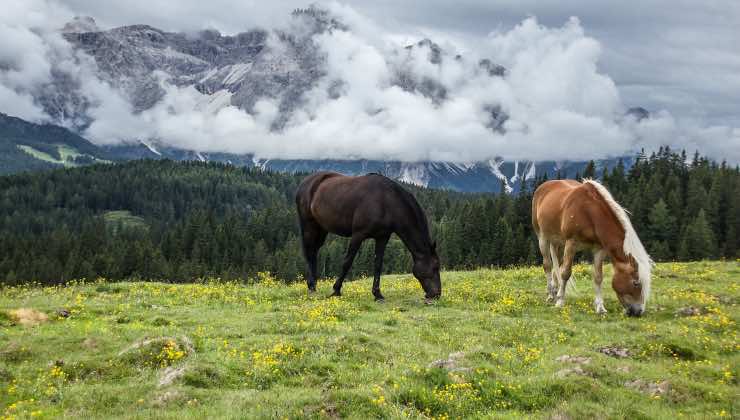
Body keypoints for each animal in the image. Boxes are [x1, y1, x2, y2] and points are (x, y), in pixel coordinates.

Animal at [294, 171, 440, 302]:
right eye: (435, 267)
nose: (436, 294)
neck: (386, 201)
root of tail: (306, 183)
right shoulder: (358, 235)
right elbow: (347, 262)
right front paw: (336, 290)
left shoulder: (382, 238)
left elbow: (378, 265)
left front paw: (377, 294)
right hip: (308, 225)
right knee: (309, 252)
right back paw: (311, 287)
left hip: (322, 228)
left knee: (314, 252)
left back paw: (314, 285)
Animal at [532, 179, 652, 316]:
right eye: (636, 283)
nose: (638, 311)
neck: (589, 212)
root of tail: (544, 186)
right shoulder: (571, 244)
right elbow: (565, 273)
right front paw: (560, 301)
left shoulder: (599, 250)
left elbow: (598, 277)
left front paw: (600, 307)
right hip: (543, 237)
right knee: (547, 265)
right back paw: (551, 295)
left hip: (559, 243)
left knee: (556, 266)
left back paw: (555, 290)